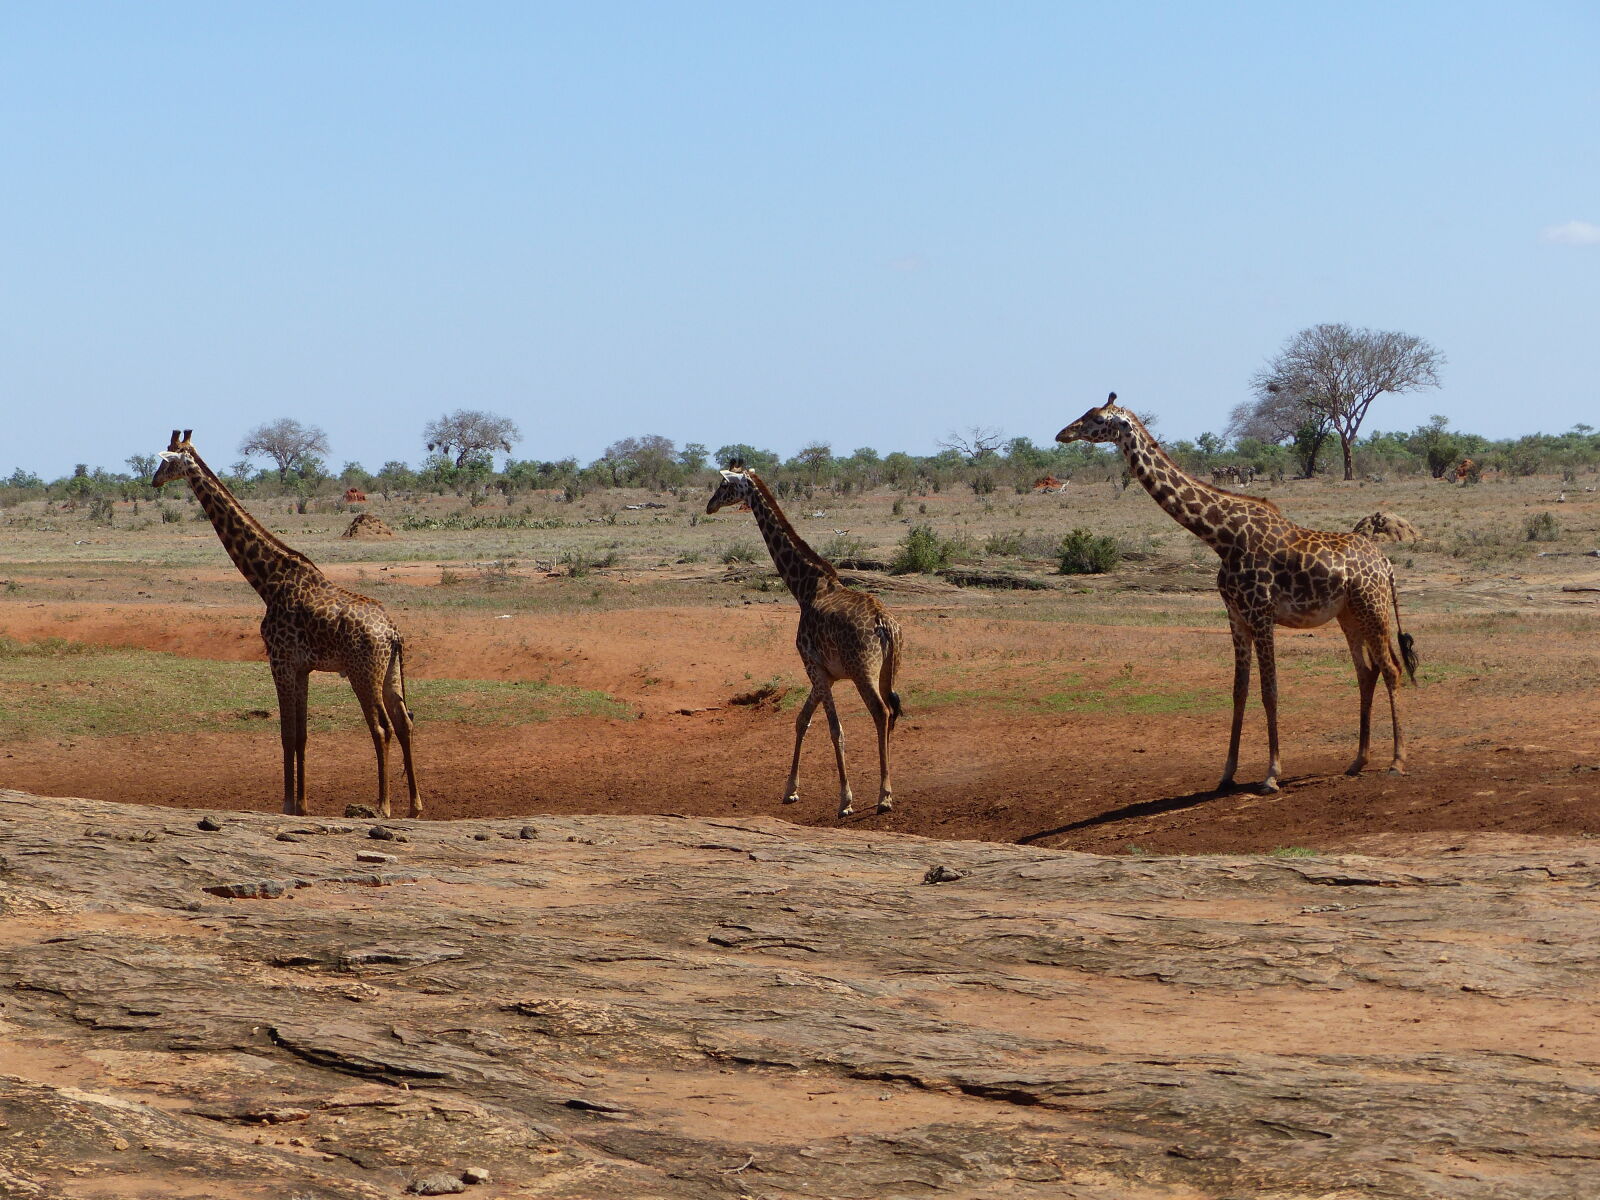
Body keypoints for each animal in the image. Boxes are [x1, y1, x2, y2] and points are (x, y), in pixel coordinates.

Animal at [150, 432, 422, 819]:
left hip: (363, 673)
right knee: (404, 722)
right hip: (391, 673)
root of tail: (393, 632)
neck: (267, 581)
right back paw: (415, 806)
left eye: (166, 460)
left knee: (382, 728)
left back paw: (382, 806)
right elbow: (302, 734)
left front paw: (288, 803)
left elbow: (285, 734)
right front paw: (302, 804)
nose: (153, 481)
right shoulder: (301, 667)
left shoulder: (279, 661)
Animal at [707, 460, 908, 819]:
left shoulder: (812, 665)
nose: (709, 506)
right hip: (888, 669)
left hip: (863, 671)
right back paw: (887, 791)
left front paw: (845, 800)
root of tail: (884, 623)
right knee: (892, 713)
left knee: (881, 712)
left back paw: (884, 796)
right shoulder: (824, 673)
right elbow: (802, 720)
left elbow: (834, 728)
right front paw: (790, 790)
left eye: (724, 486)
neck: (804, 588)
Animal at [1056, 395, 1420, 793]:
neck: (1221, 537)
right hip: (1348, 614)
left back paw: (1397, 762)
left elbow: (1270, 690)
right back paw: (1357, 761)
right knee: (1366, 672)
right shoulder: (1235, 617)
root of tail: (1386, 563)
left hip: (1373, 607)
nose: (1062, 433)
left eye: (1097, 419)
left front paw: (1272, 774)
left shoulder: (1261, 613)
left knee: (1391, 669)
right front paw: (1227, 773)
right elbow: (1238, 691)